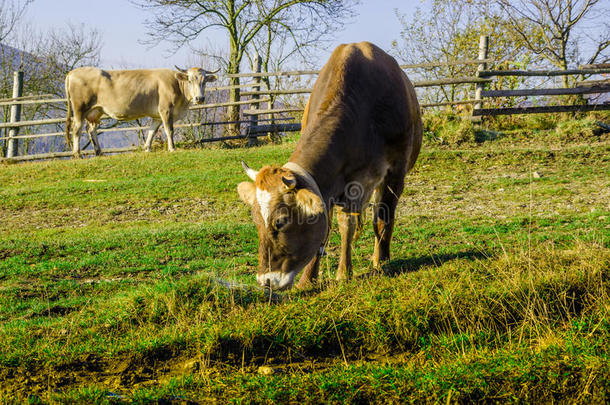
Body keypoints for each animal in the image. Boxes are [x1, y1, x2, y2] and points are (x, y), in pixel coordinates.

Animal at [63, 66, 216, 156]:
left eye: (204, 81)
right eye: (190, 80)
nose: (200, 98)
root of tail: (73, 72)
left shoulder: (157, 116)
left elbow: (152, 131)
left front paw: (147, 148)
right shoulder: (166, 110)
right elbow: (169, 130)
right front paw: (172, 148)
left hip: (96, 112)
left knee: (91, 130)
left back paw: (99, 152)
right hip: (80, 109)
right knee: (77, 129)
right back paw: (77, 154)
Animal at [235, 41, 420, 290]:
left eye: (281, 221)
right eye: (256, 221)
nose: (266, 281)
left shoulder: (394, 172)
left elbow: (379, 219)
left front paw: (374, 265)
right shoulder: (330, 185)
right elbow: (331, 226)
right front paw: (309, 279)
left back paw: (378, 257)